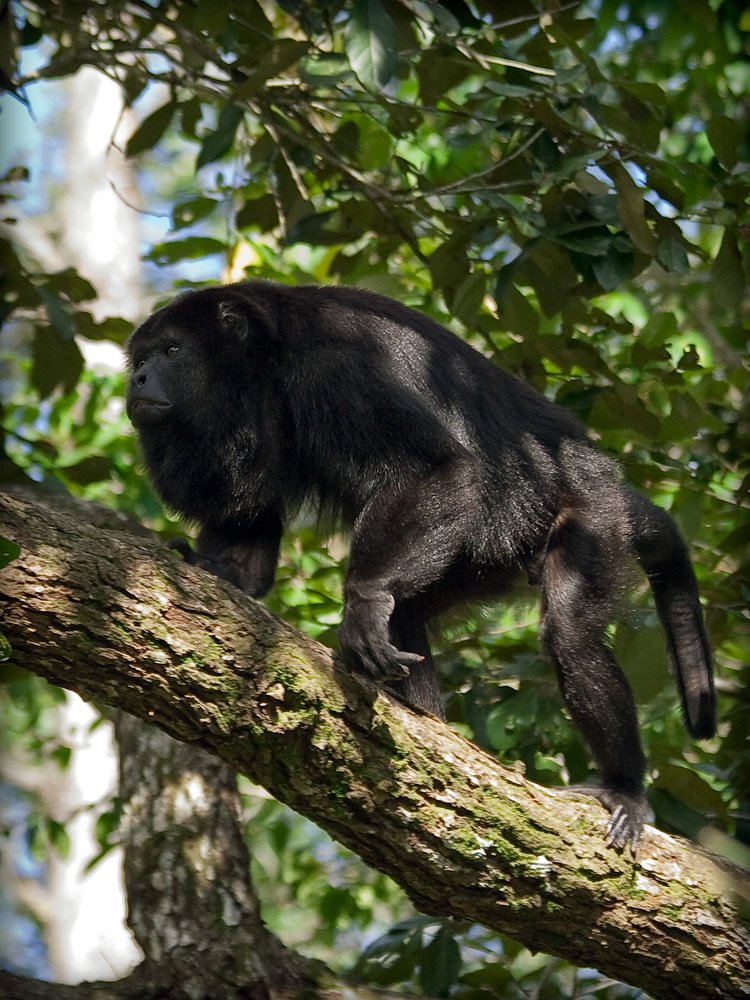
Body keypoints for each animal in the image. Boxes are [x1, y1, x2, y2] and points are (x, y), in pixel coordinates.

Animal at [126, 280, 715, 850]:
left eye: (172, 351)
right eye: (143, 356)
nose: (137, 378)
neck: (266, 360)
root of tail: (596, 469)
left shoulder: (339, 362)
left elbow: (438, 466)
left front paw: (364, 599)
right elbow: (246, 526)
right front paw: (211, 567)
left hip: (591, 514)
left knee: (570, 632)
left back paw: (625, 788)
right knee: (409, 613)